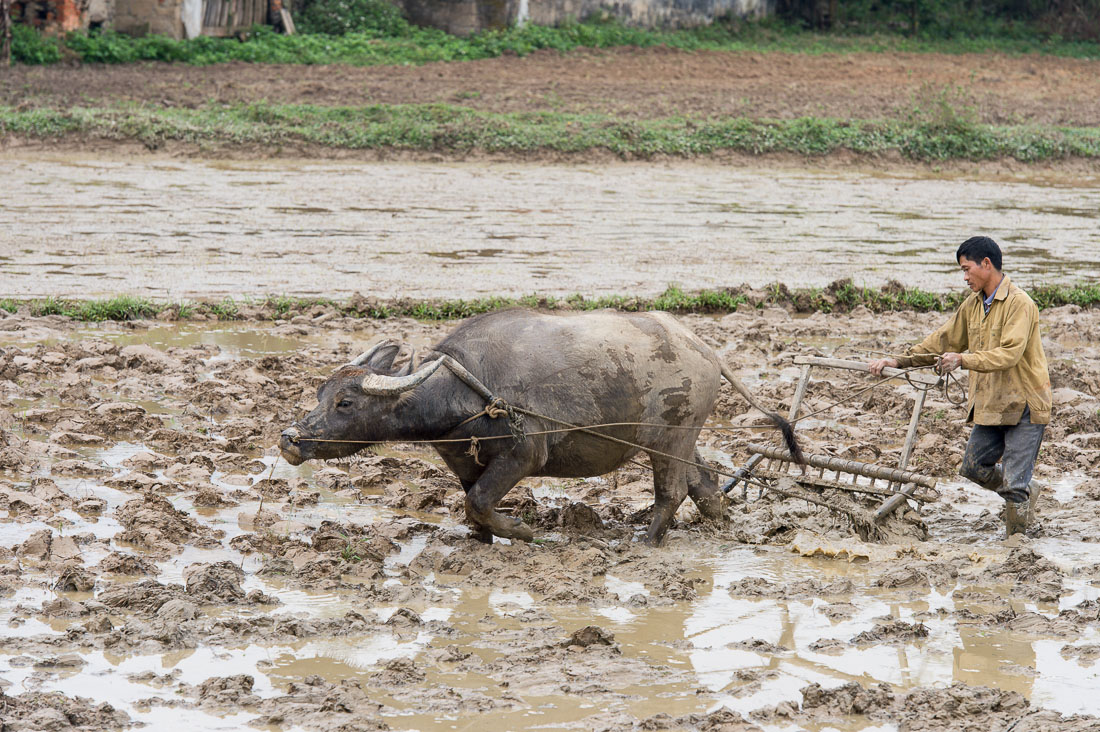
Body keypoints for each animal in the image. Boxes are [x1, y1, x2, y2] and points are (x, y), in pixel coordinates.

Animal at [281, 308, 800, 541]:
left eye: (346, 402)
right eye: (320, 394)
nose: (290, 438)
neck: (471, 394)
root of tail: (706, 351)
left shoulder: (525, 455)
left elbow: (479, 502)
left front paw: (525, 532)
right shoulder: (464, 464)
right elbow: (473, 507)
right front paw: (484, 540)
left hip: (672, 435)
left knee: (670, 492)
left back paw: (643, 541)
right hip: (680, 440)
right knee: (704, 484)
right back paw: (722, 525)